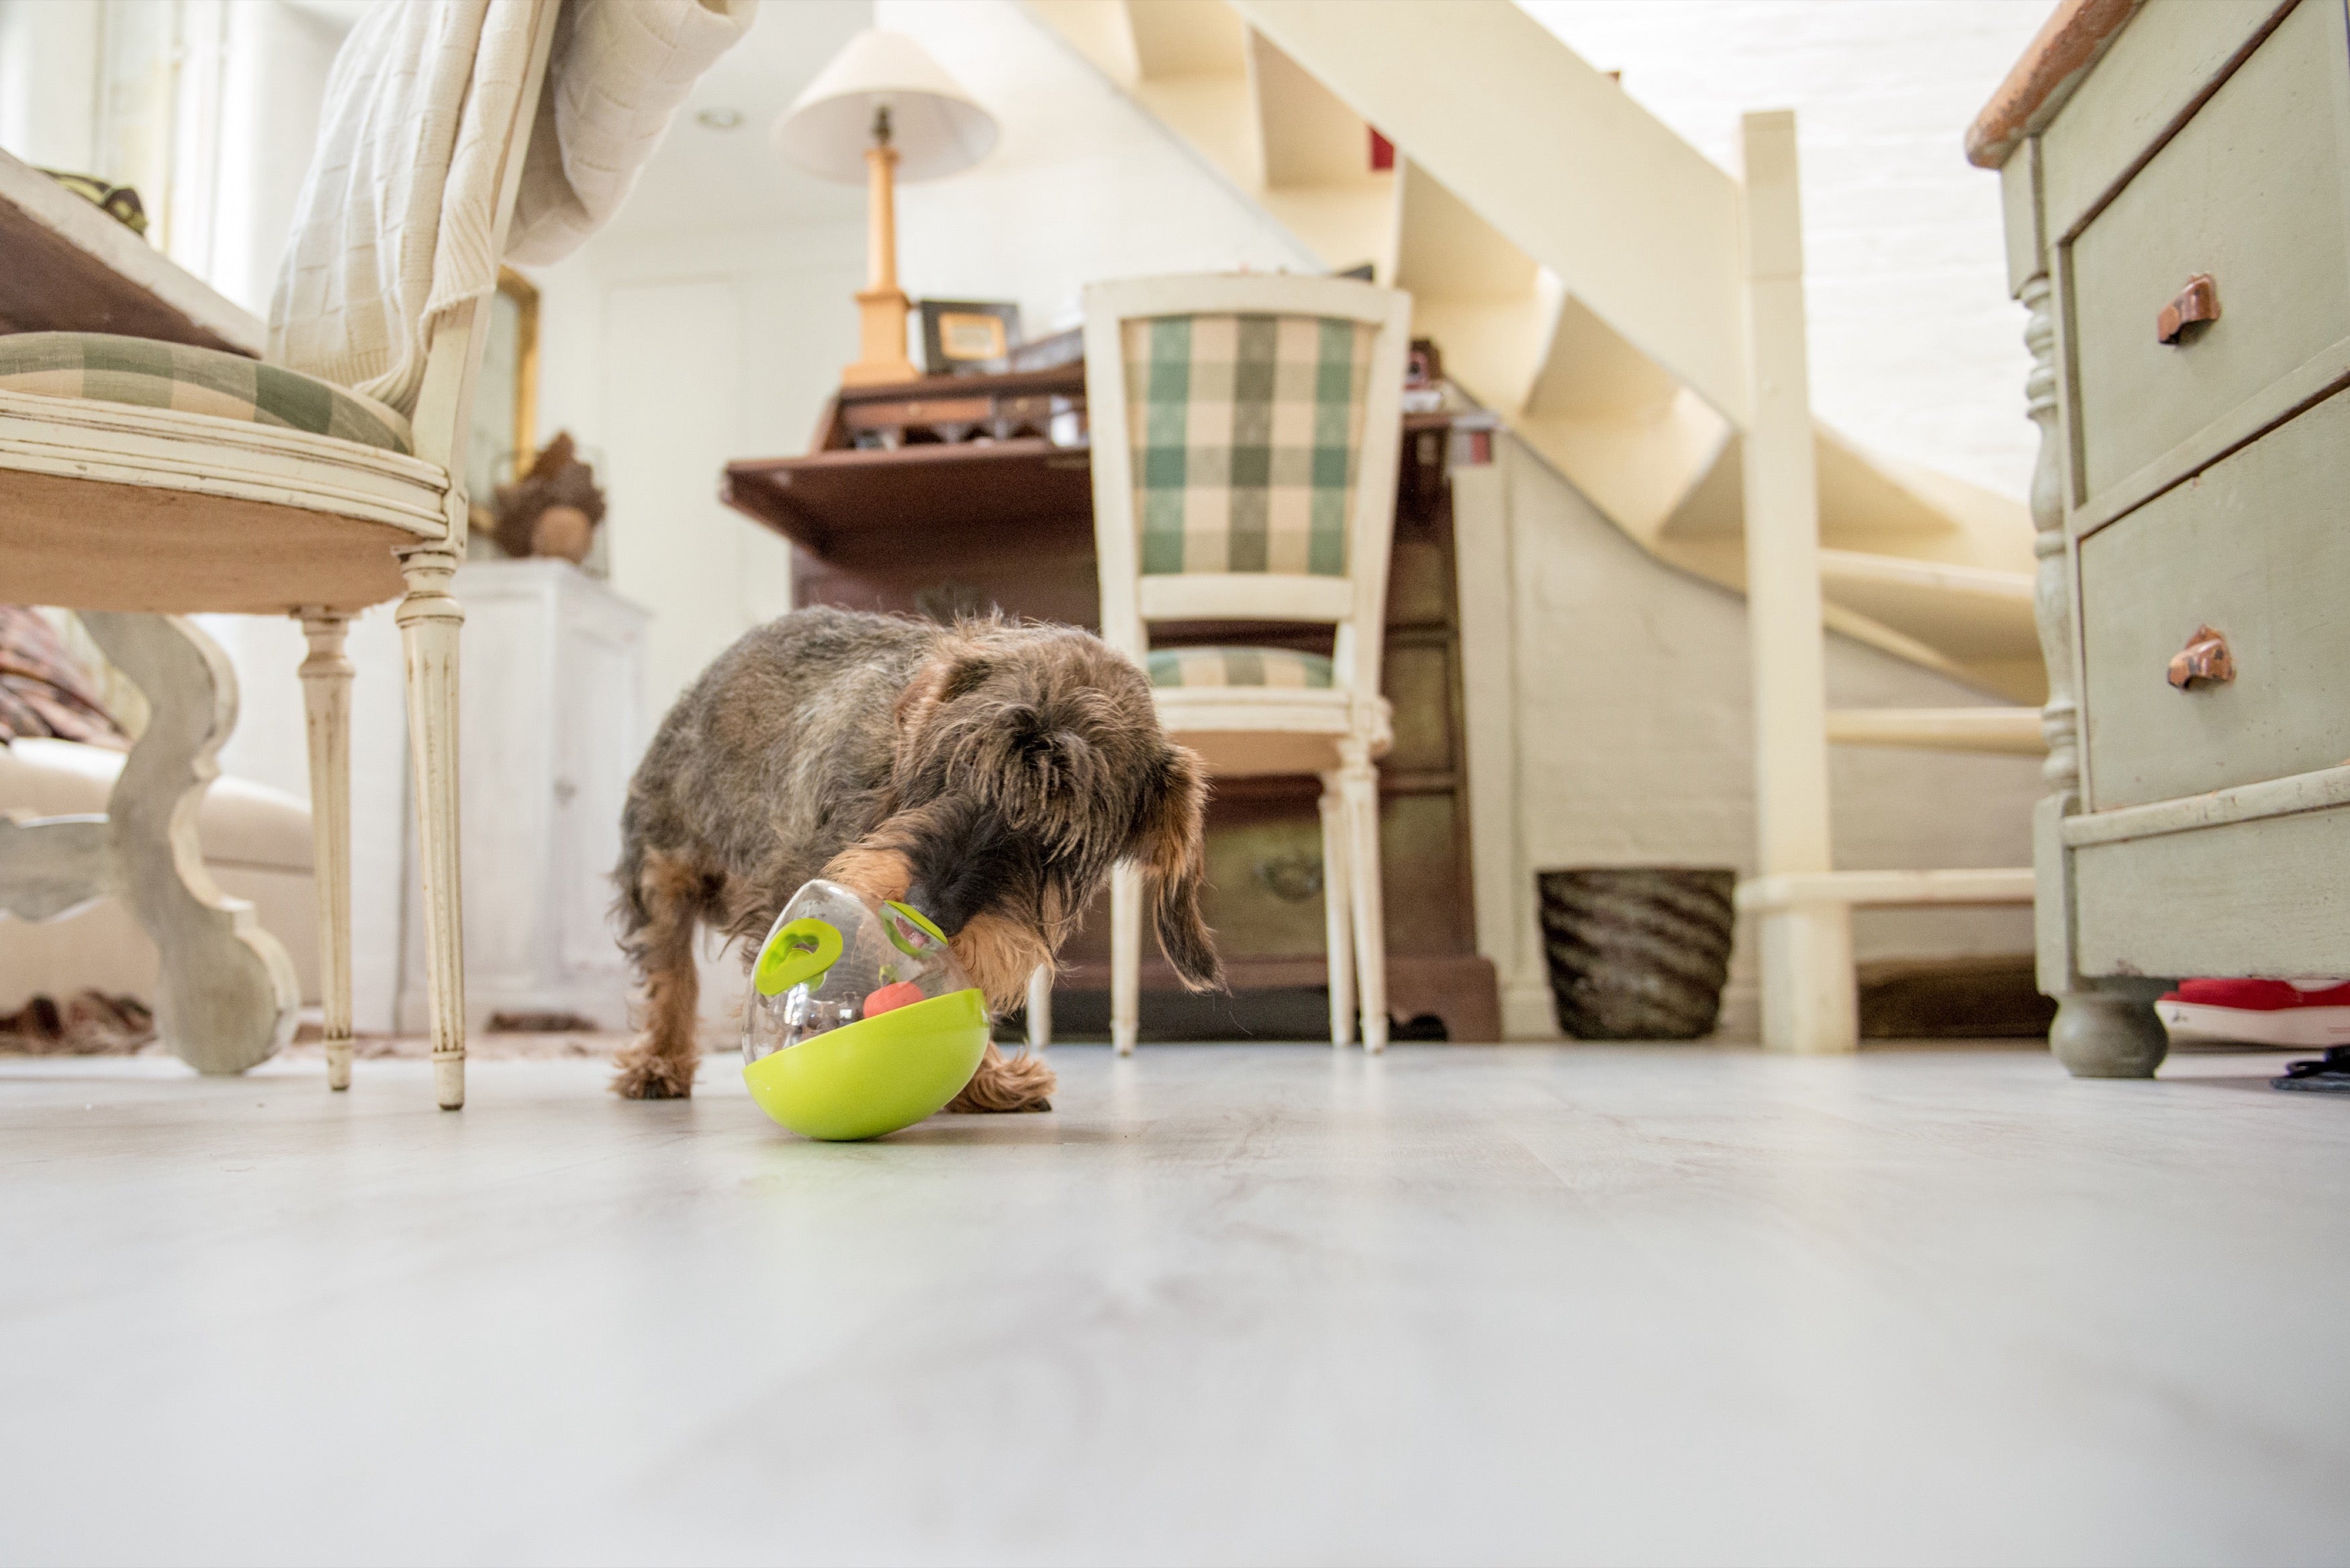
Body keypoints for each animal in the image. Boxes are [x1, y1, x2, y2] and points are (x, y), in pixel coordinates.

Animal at [606, 601, 1222, 1105]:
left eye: (1061, 833)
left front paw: (985, 1081)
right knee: (670, 967)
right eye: (960, 759)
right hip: (662, 864)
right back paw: (659, 1062)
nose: (929, 911)